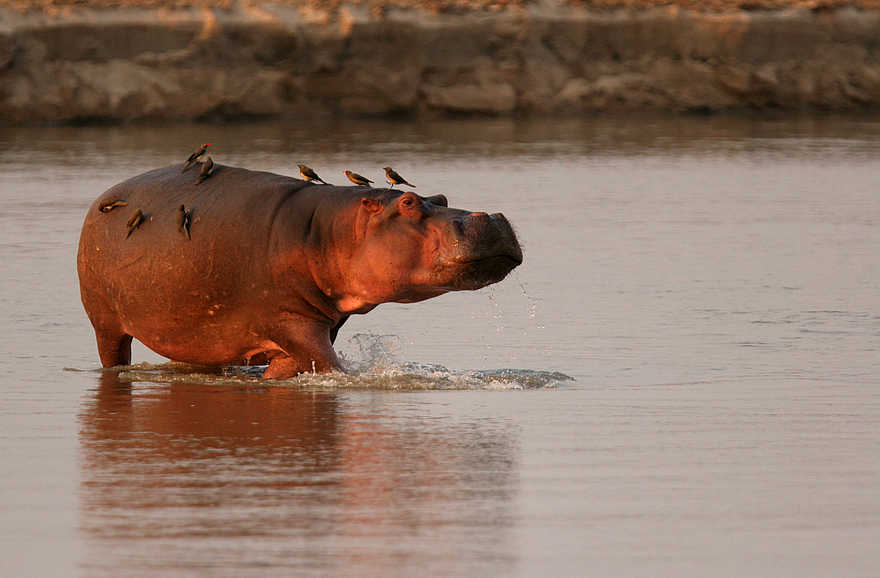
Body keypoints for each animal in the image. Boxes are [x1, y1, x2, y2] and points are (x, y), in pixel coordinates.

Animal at [77, 164, 523, 378]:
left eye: (442, 197)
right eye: (409, 203)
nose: (492, 215)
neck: (330, 231)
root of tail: (103, 196)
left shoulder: (324, 322)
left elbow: (296, 363)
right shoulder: (289, 318)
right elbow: (325, 364)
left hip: (194, 332)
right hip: (105, 321)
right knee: (113, 354)